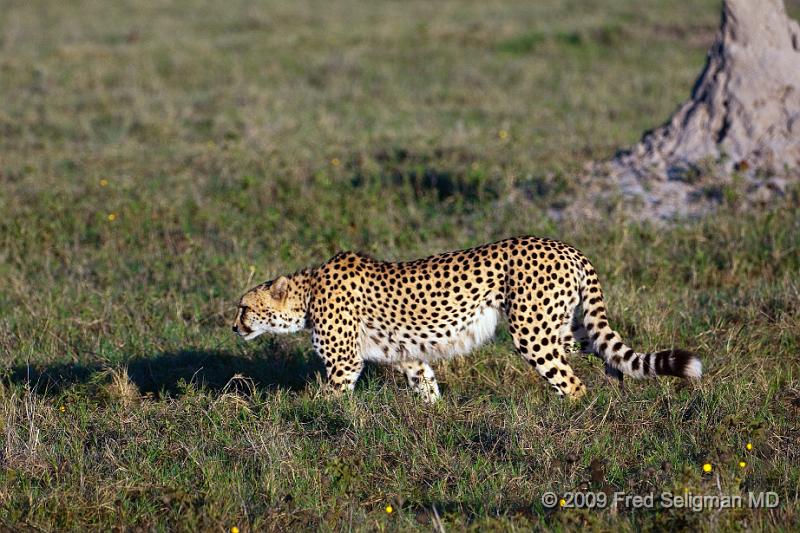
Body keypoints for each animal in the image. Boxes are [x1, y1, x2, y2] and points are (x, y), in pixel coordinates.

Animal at [231, 239, 700, 402]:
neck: (307, 295)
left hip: (531, 332)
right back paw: (615, 400)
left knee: (571, 382)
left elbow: (330, 401)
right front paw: (435, 417)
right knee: (604, 353)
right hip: (566, 324)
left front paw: (317, 425)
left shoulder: (344, 363)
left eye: (244, 307)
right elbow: (426, 384)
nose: (233, 326)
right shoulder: (409, 356)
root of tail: (565, 246)